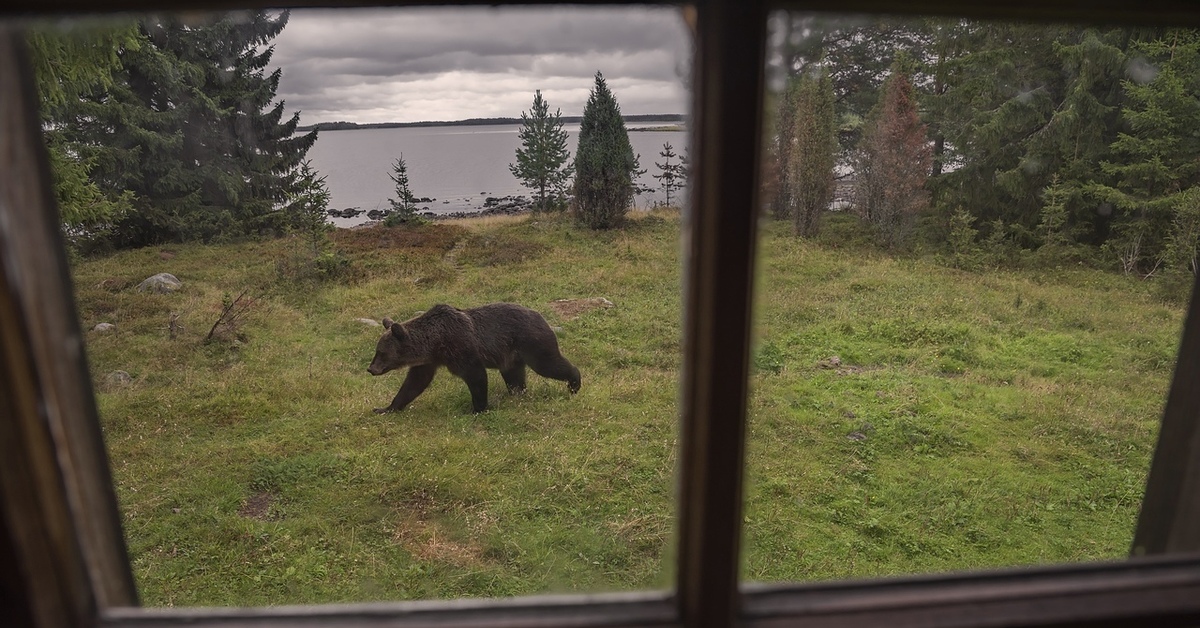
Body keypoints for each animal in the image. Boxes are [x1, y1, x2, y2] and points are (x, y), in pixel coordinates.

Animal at [369, 303, 585, 415]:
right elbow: (413, 383)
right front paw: (385, 408)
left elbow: (476, 377)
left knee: (549, 364)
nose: (371, 369)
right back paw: (517, 394)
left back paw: (574, 384)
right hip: (511, 356)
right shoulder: (429, 361)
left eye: (381, 352)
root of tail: (541, 316)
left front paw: (477, 408)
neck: (435, 343)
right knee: (515, 377)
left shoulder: (462, 349)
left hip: (530, 341)